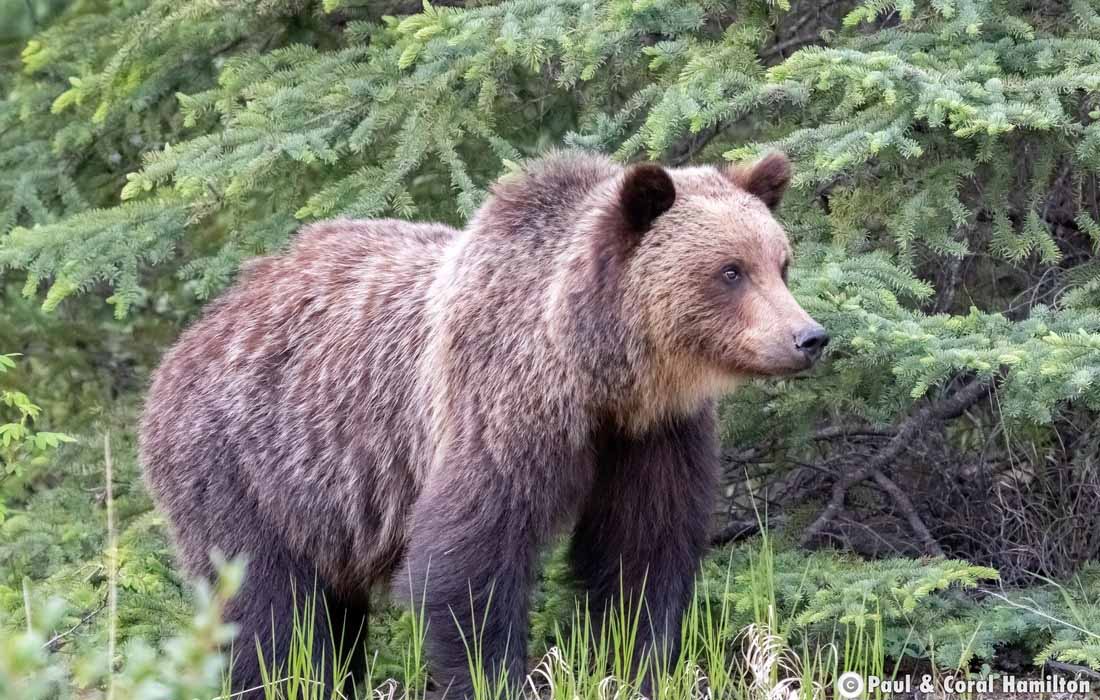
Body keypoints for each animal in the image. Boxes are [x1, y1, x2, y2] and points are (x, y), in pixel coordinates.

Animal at [139, 150, 827, 695]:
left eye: (781, 262)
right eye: (730, 270)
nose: (809, 336)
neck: (599, 374)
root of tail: (191, 338)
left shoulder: (654, 435)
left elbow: (644, 552)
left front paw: (640, 666)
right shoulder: (499, 405)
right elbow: (469, 562)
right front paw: (493, 676)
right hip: (247, 467)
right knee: (264, 607)